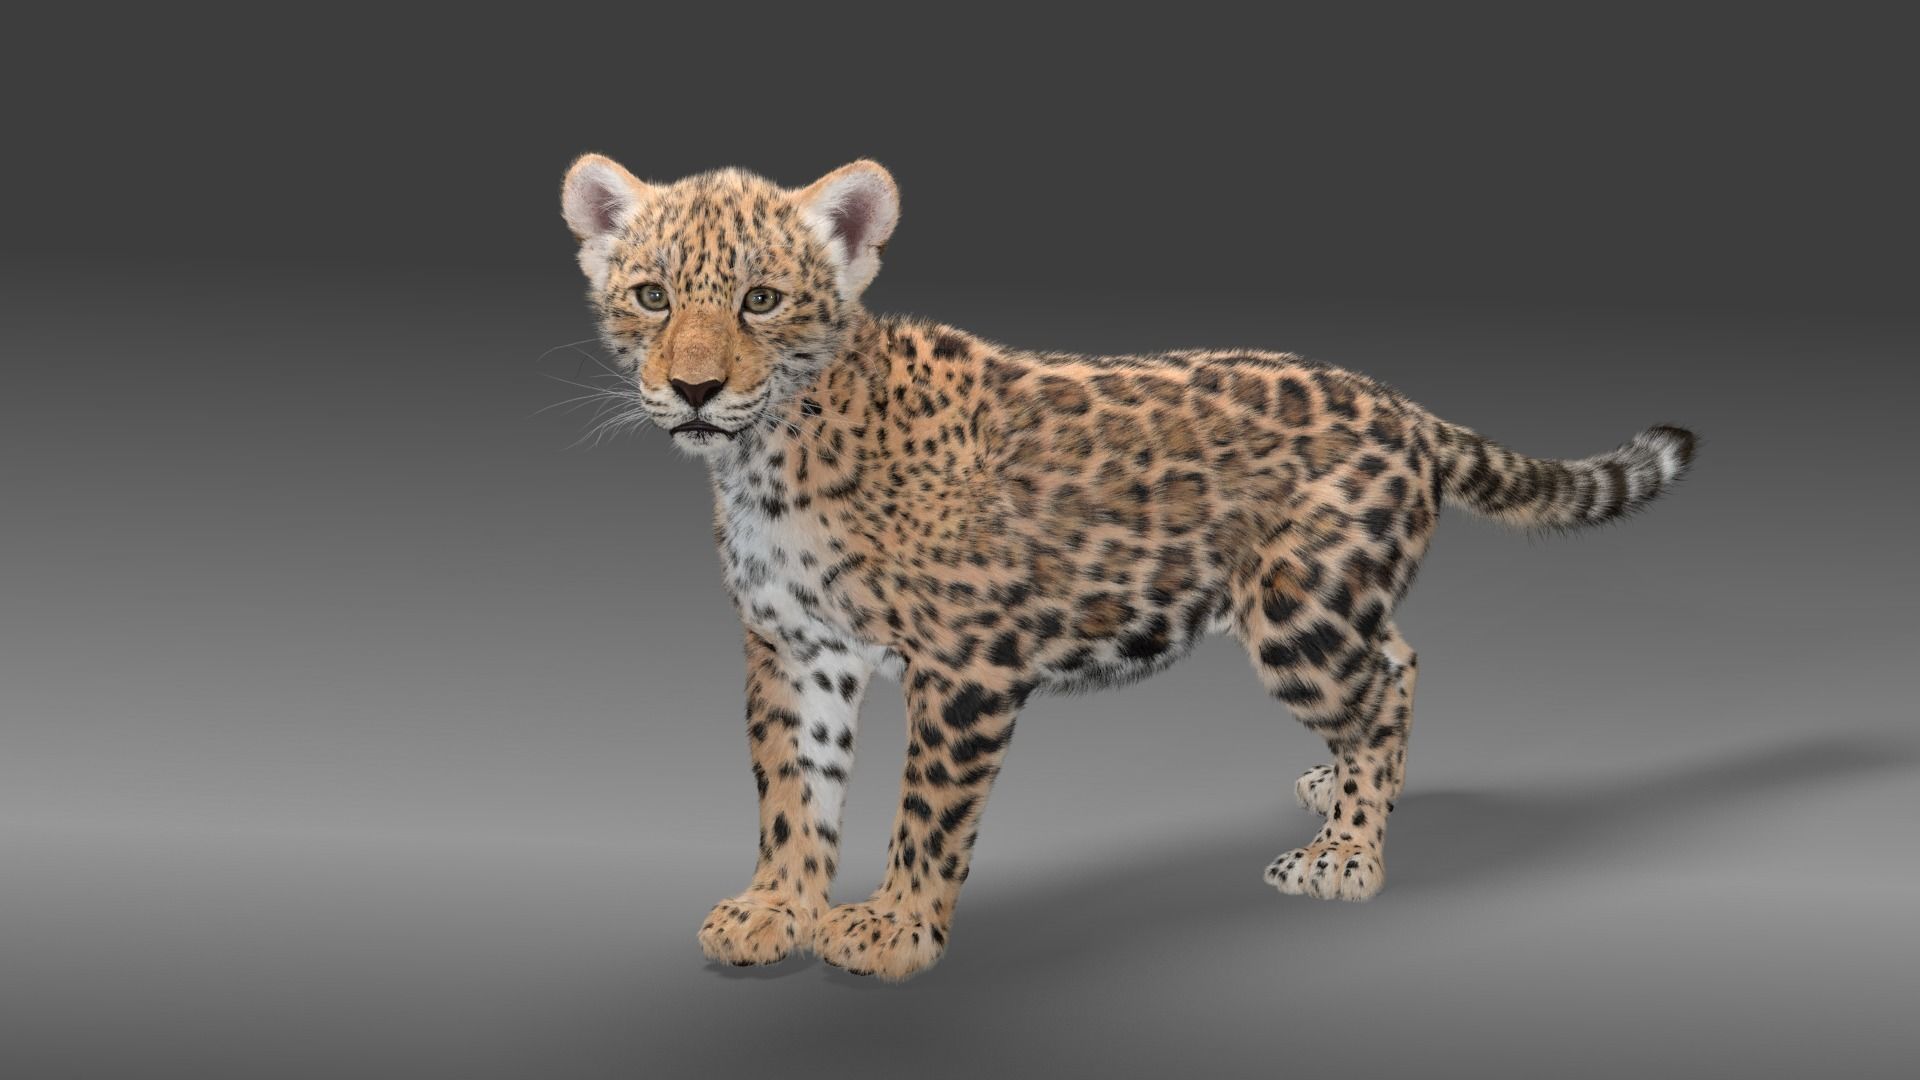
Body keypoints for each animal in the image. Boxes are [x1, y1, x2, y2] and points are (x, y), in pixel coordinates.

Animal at [557, 154, 1696, 981]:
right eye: (650, 297)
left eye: (761, 300)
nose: (695, 390)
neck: (768, 456)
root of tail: (1406, 409)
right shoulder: (795, 648)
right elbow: (794, 790)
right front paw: (777, 911)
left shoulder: (965, 663)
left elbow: (927, 813)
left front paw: (893, 931)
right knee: (1399, 661)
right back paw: (1335, 792)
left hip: (1299, 610)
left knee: (1380, 691)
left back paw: (1347, 852)